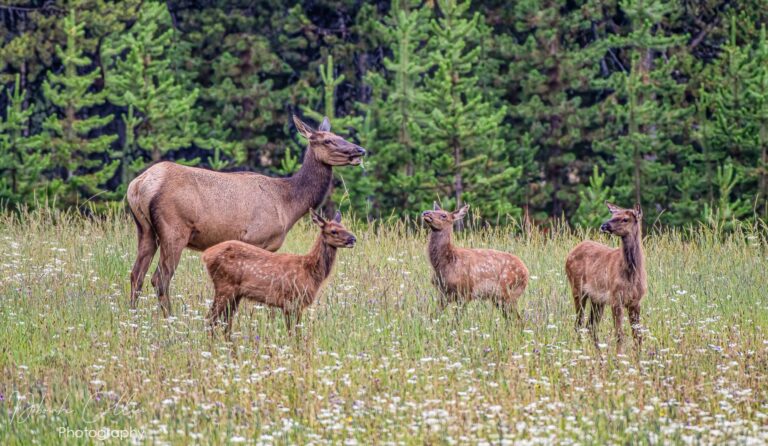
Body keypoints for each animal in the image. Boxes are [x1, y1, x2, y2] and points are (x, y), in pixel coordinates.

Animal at [126, 115, 365, 316]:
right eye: (328, 141)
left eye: (340, 136)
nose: (360, 150)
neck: (288, 204)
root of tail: (138, 185)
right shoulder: (257, 238)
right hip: (174, 230)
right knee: (160, 278)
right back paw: (169, 318)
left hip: (145, 229)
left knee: (136, 275)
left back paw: (133, 316)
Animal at [203, 209, 356, 340]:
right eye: (334, 231)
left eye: (344, 226)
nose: (353, 239)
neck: (310, 270)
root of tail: (206, 255)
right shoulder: (291, 301)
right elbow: (293, 333)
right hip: (224, 285)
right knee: (211, 319)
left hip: (236, 293)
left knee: (225, 322)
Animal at [565, 202, 647, 355]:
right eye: (613, 215)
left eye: (625, 219)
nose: (604, 226)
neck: (632, 274)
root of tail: (570, 253)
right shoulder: (616, 298)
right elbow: (619, 334)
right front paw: (619, 356)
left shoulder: (636, 301)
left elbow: (637, 335)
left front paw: (638, 356)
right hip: (577, 288)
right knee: (579, 323)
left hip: (597, 299)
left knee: (591, 326)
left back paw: (598, 354)